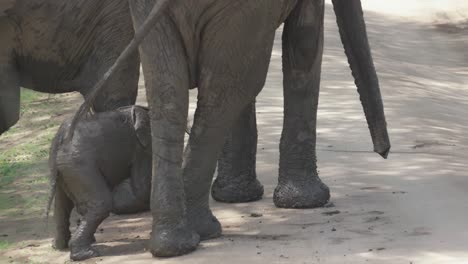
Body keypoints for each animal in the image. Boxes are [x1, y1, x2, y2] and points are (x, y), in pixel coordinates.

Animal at [47, 104, 152, 260]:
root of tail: (59, 138)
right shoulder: (142, 148)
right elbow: (142, 189)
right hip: (79, 163)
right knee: (101, 203)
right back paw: (87, 253)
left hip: (63, 167)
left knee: (61, 206)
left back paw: (60, 246)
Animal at [70, 0, 392, 258]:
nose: (384, 152)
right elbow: (305, 42)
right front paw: (305, 202)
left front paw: (243, 197)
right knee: (231, 88)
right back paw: (199, 231)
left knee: (173, 90)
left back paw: (173, 244)